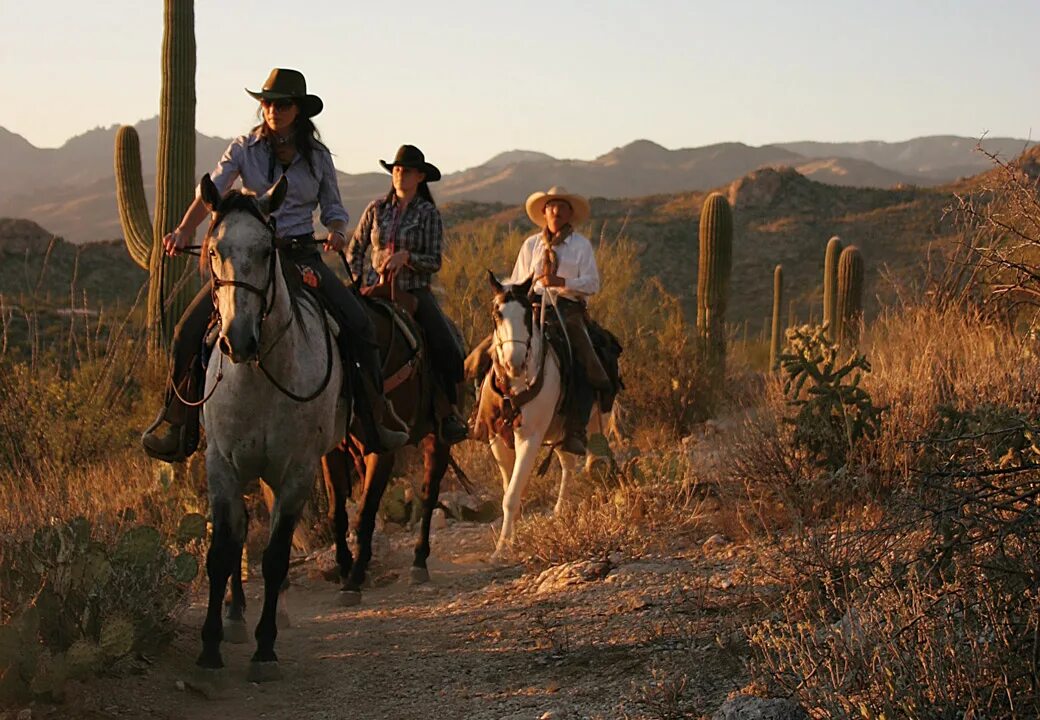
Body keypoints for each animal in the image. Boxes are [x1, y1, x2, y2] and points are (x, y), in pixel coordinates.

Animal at [193, 172, 343, 682]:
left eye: (265, 250)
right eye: (213, 250)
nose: (238, 340)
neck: (258, 376)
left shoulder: (297, 472)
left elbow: (276, 558)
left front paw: (265, 648)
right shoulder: (221, 465)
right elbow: (221, 551)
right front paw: (211, 647)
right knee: (239, 532)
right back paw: (237, 616)